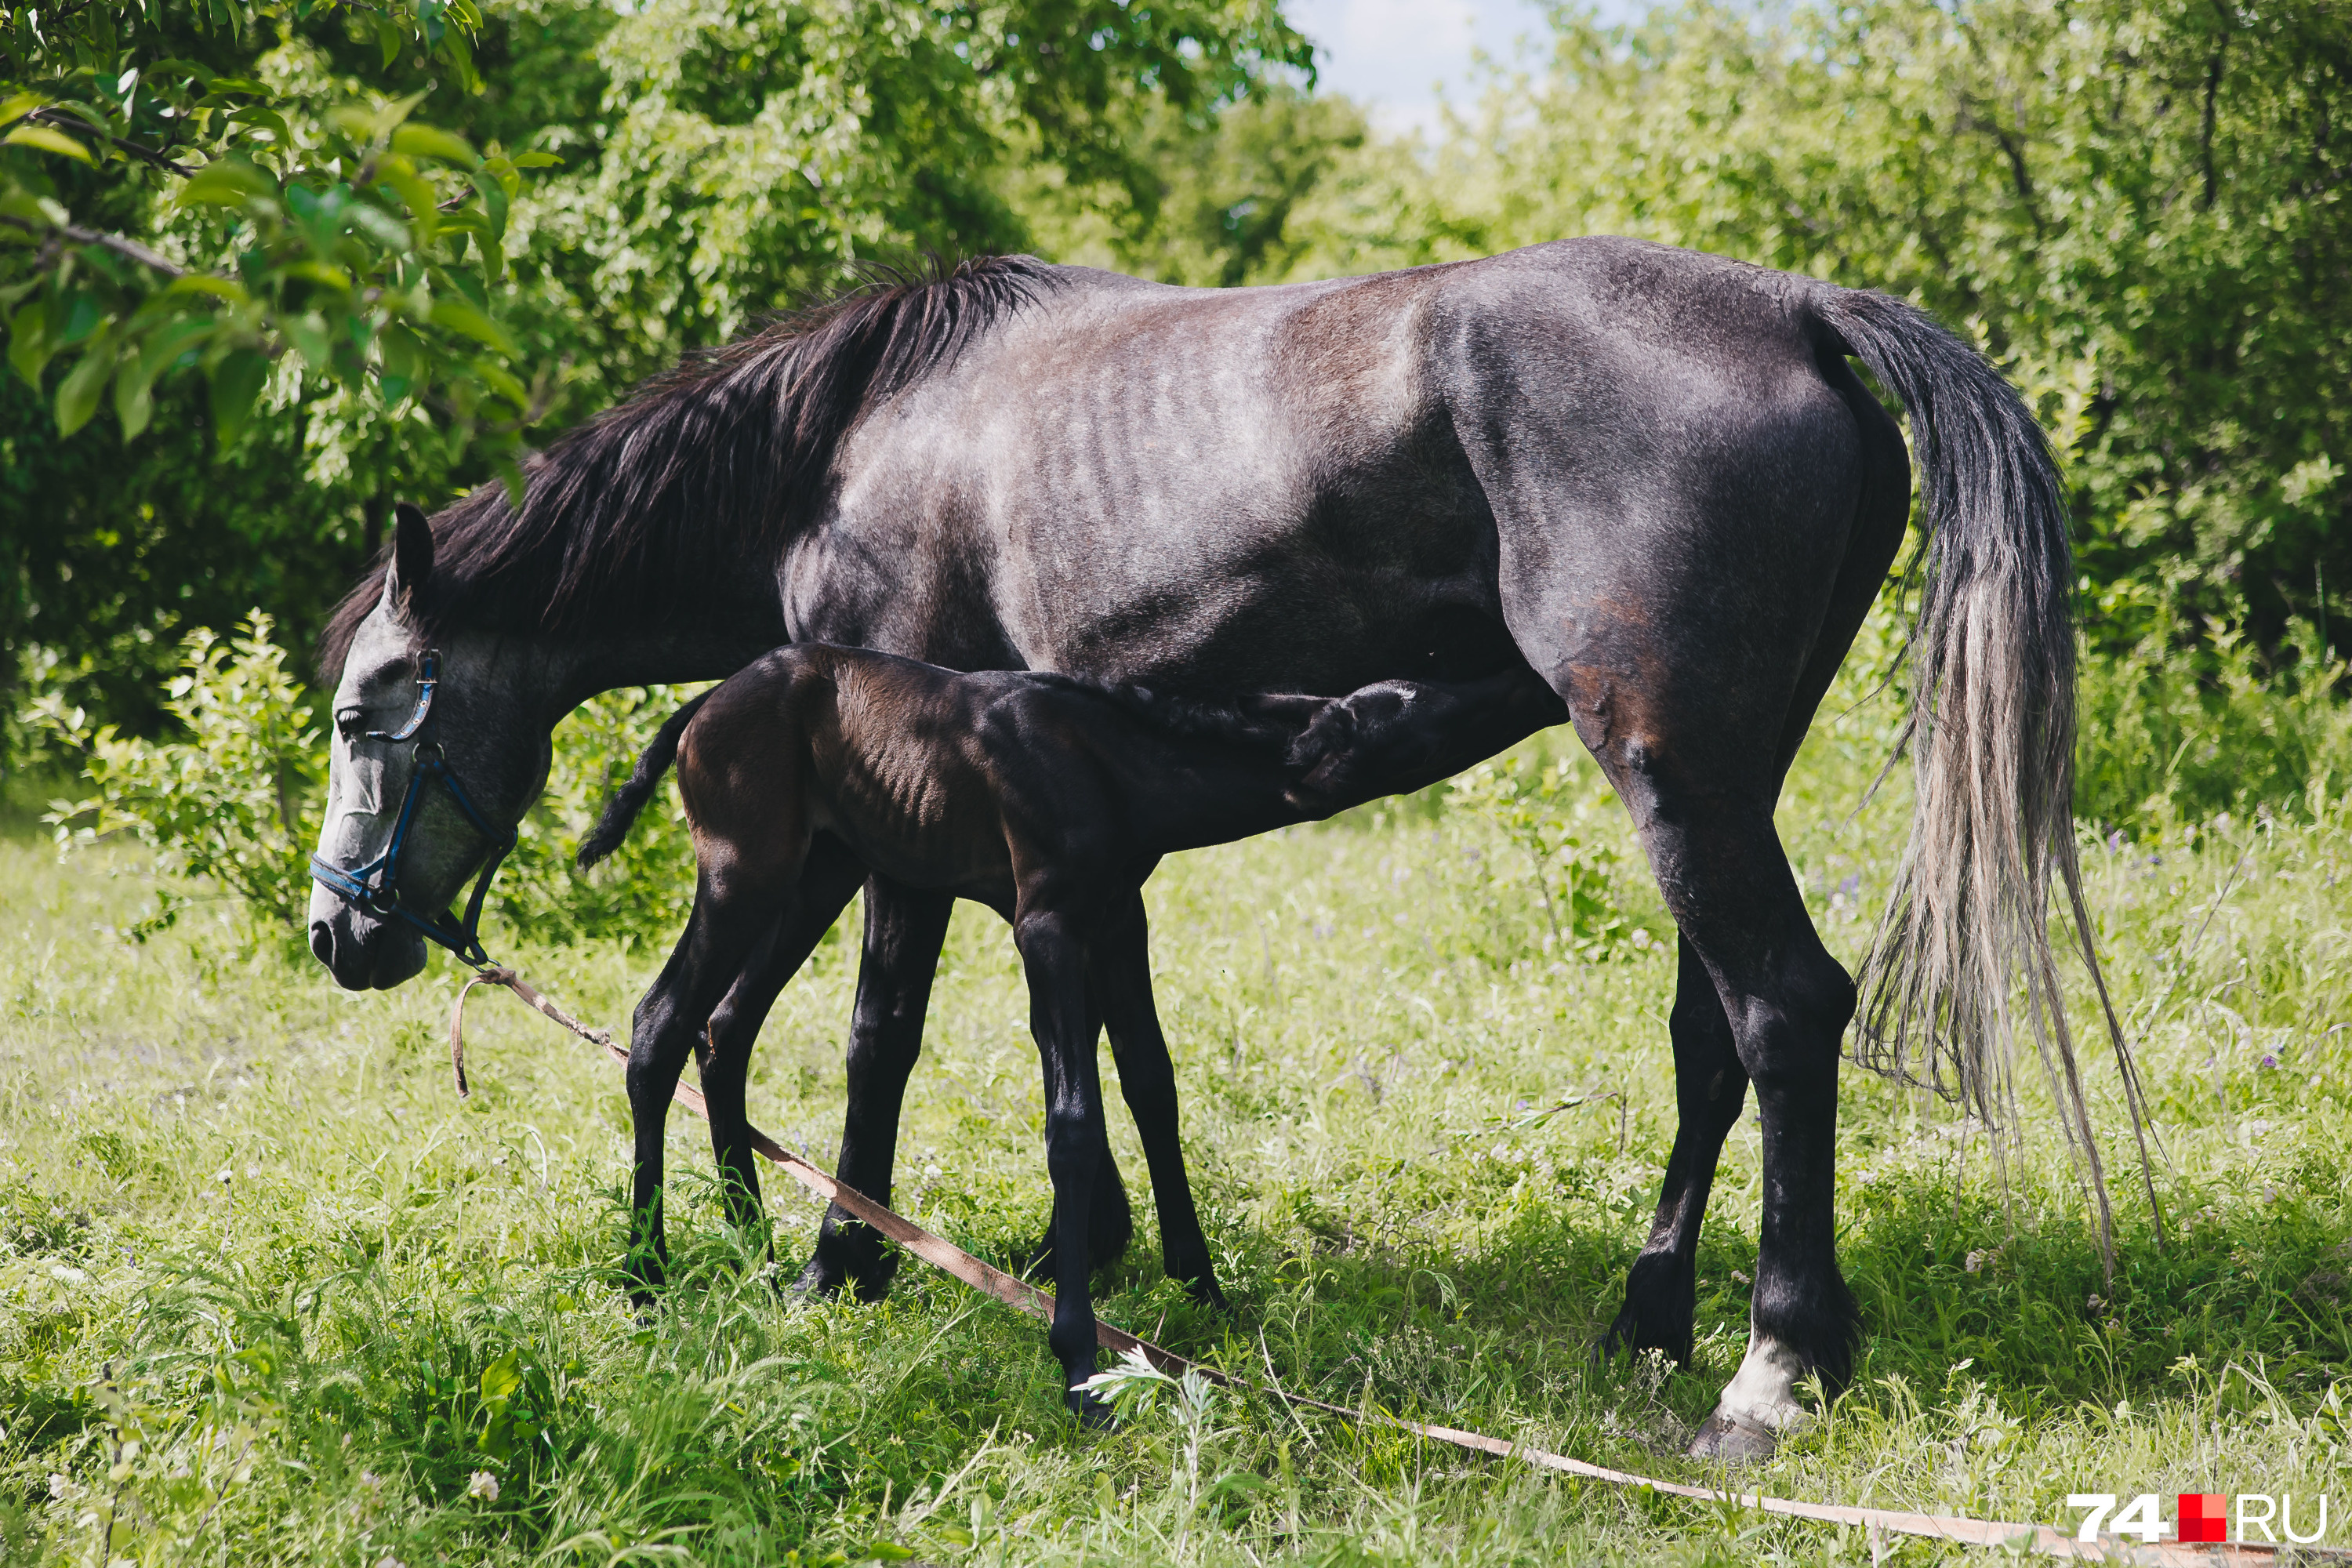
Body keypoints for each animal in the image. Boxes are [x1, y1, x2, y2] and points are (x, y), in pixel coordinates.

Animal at [579, 644, 1552, 1420]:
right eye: (1419, 703)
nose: (1530, 680)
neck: (1114, 764)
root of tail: (700, 705)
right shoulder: (1044, 924)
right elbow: (1074, 1124)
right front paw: (1081, 1364)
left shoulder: (1119, 917)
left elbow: (1153, 1082)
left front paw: (1205, 1291)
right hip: (743, 872)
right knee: (660, 1022)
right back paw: (645, 1278)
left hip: (820, 868)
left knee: (724, 1026)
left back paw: (755, 1245)